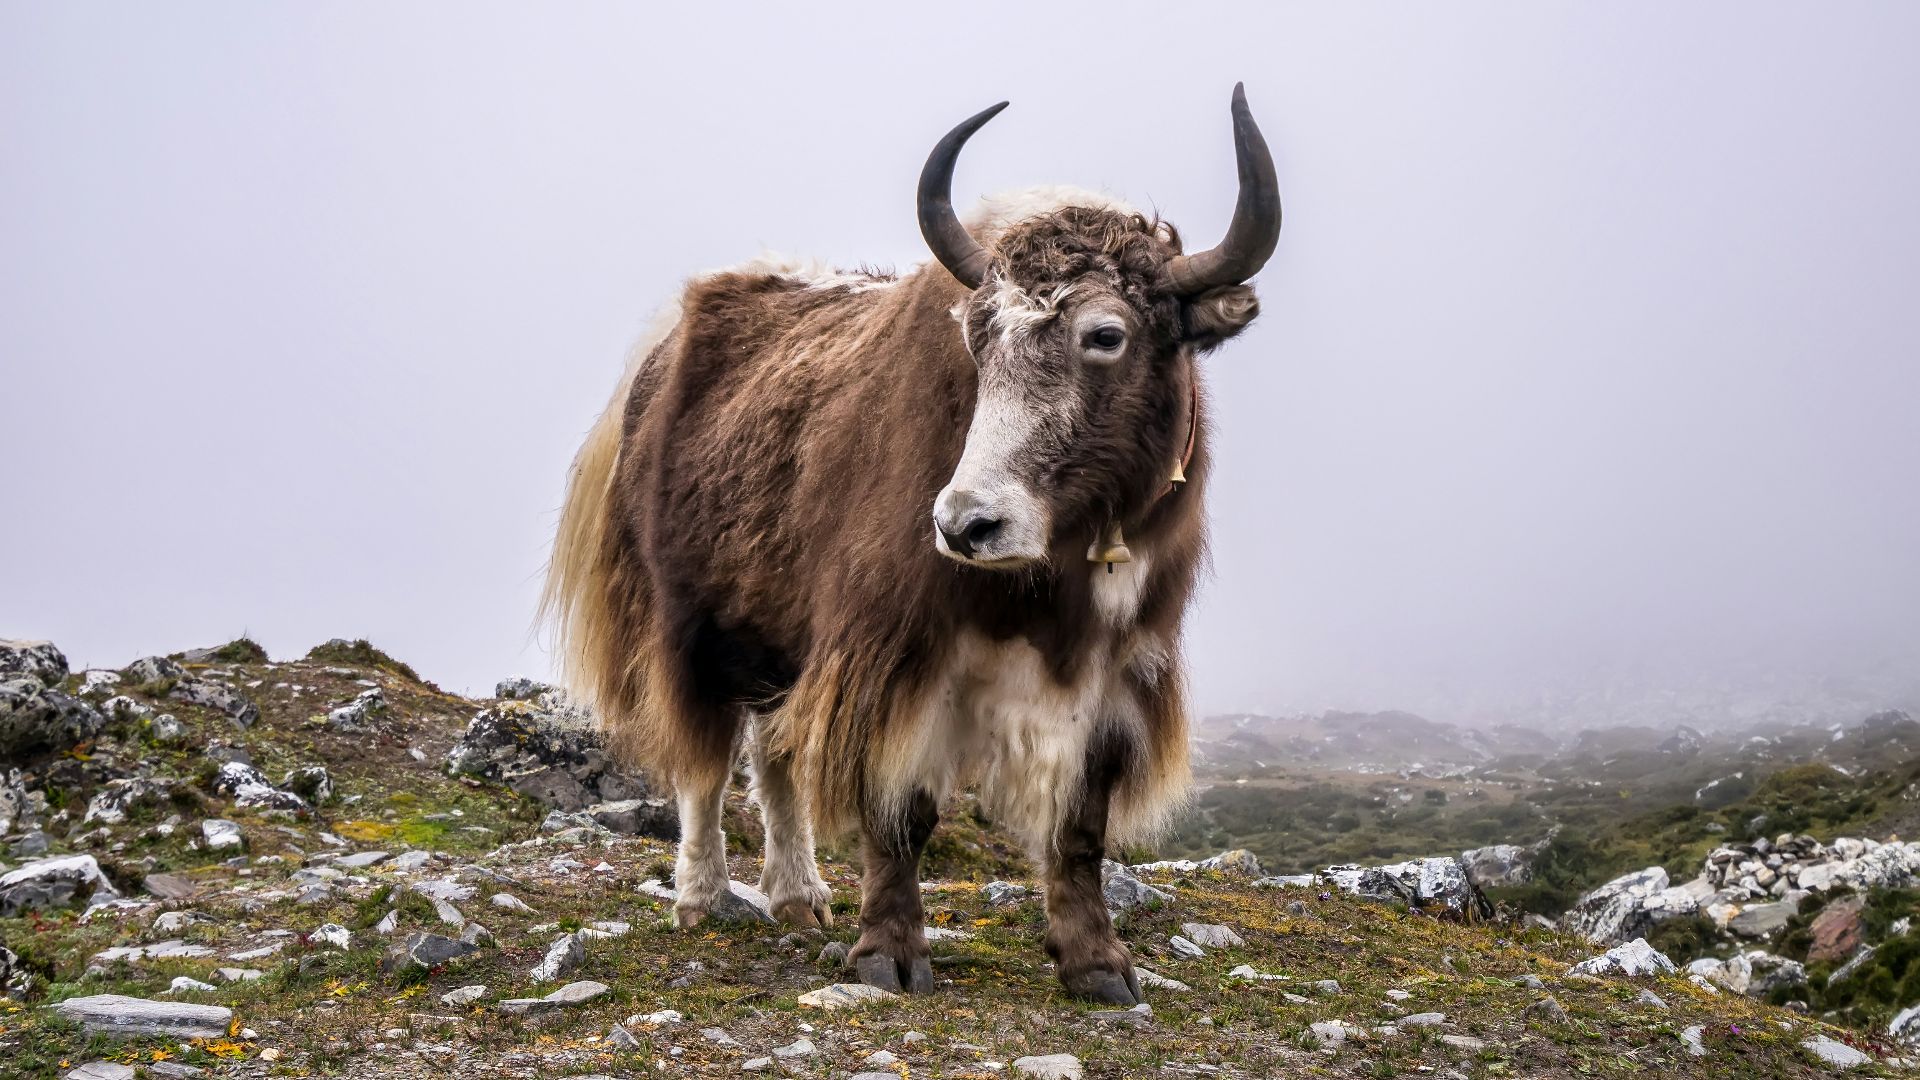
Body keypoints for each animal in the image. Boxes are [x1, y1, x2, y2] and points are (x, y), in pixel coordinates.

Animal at [544, 84, 1281, 1005]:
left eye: (1106, 335)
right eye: (978, 339)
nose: (967, 526)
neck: (1055, 574)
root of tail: (663, 345)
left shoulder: (1119, 669)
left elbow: (1081, 822)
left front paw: (1099, 967)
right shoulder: (892, 652)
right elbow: (901, 809)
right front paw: (888, 956)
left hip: (779, 634)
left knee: (773, 752)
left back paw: (800, 898)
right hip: (689, 620)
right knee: (705, 761)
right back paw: (705, 898)